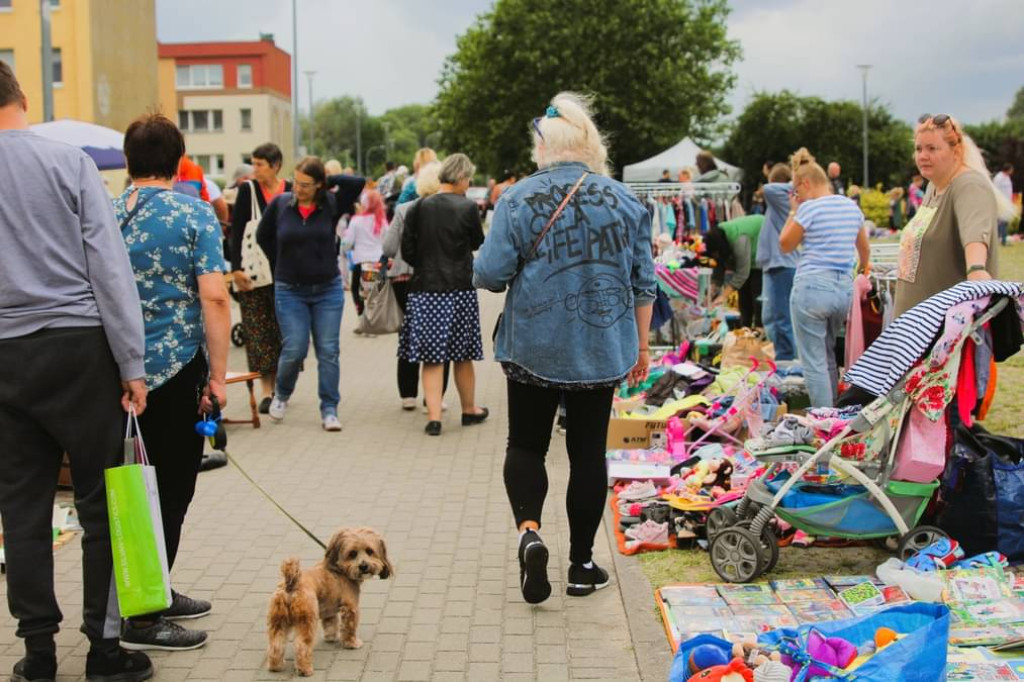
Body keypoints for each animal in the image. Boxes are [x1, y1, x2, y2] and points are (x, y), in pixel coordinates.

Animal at [264, 524, 391, 675]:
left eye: (369, 551)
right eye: (352, 553)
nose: (363, 566)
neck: (341, 570)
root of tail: (291, 584)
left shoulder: (329, 609)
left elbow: (330, 624)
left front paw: (330, 637)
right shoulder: (350, 608)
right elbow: (349, 628)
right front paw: (351, 643)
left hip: (278, 621)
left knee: (276, 645)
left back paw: (276, 666)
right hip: (306, 621)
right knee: (302, 646)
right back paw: (305, 669)